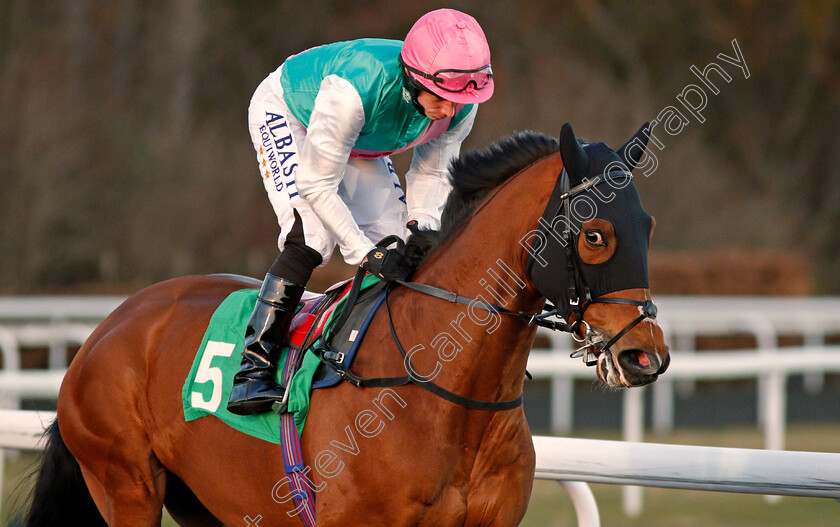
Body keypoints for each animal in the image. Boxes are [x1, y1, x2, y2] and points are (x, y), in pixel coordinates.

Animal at [21, 121, 668, 524]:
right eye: (595, 234)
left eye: (649, 226)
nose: (647, 356)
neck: (446, 389)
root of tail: (107, 328)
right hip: (124, 483)